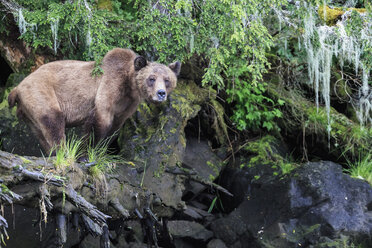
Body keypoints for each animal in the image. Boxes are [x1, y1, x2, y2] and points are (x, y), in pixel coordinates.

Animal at [8, 47, 181, 154]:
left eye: (167, 80)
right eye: (151, 78)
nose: (161, 93)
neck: (129, 85)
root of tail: (17, 87)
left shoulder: (128, 105)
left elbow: (115, 128)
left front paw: (102, 149)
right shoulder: (109, 87)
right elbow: (100, 120)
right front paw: (87, 152)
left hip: (29, 112)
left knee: (41, 132)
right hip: (41, 92)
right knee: (53, 120)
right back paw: (63, 153)